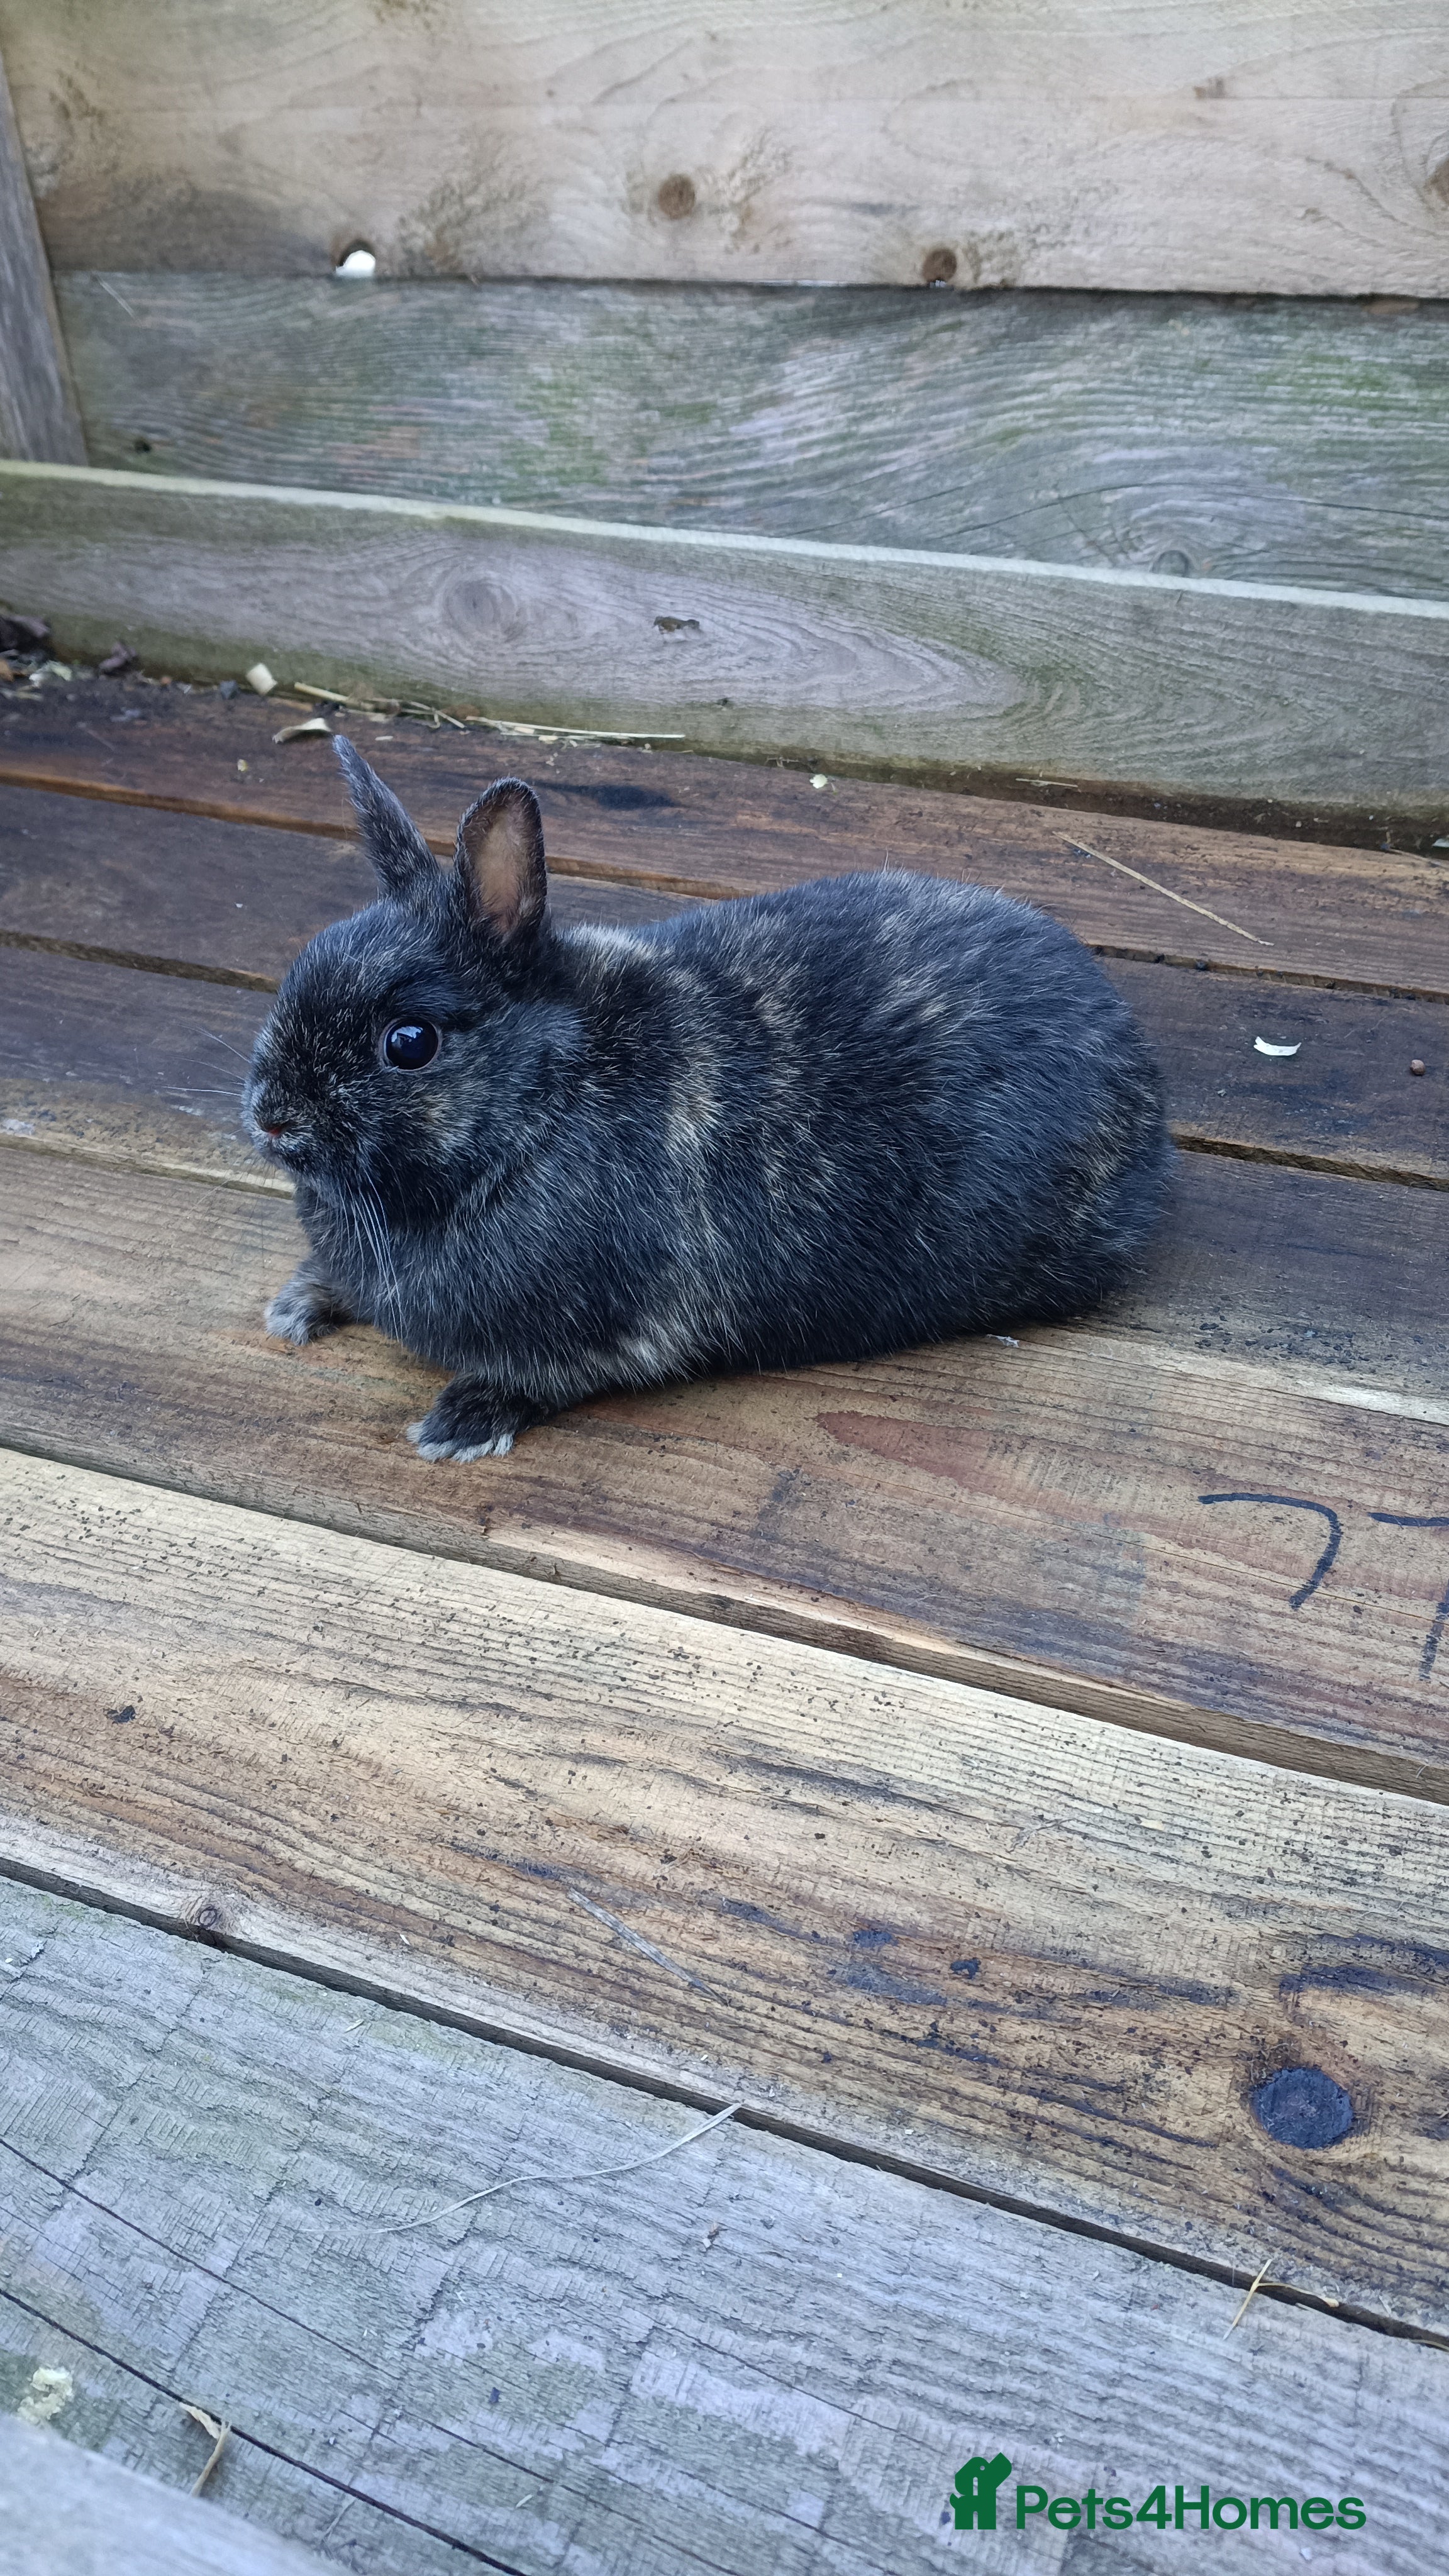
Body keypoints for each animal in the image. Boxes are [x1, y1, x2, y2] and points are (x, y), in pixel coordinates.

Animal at [243, 736, 1171, 1461]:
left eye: (410, 1043)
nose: (269, 1115)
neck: (544, 1099)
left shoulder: (605, 1329)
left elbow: (547, 1376)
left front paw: (461, 1423)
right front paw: (299, 1304)